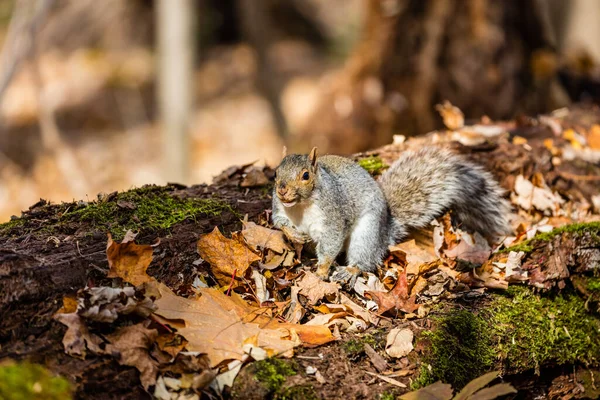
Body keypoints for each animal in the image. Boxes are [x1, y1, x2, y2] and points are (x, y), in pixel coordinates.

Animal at [272, 146, 510, 282]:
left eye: (305, 175)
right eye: (275, 173)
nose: (282, 190)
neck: (300, 206)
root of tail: (385, 229)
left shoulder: (334, 216)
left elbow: (331, 244)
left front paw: (322, 271)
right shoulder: (279, 208)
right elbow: (279, 222)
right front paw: (293, 234)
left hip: (366, 235)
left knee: (364, 258)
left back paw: (350, 271)